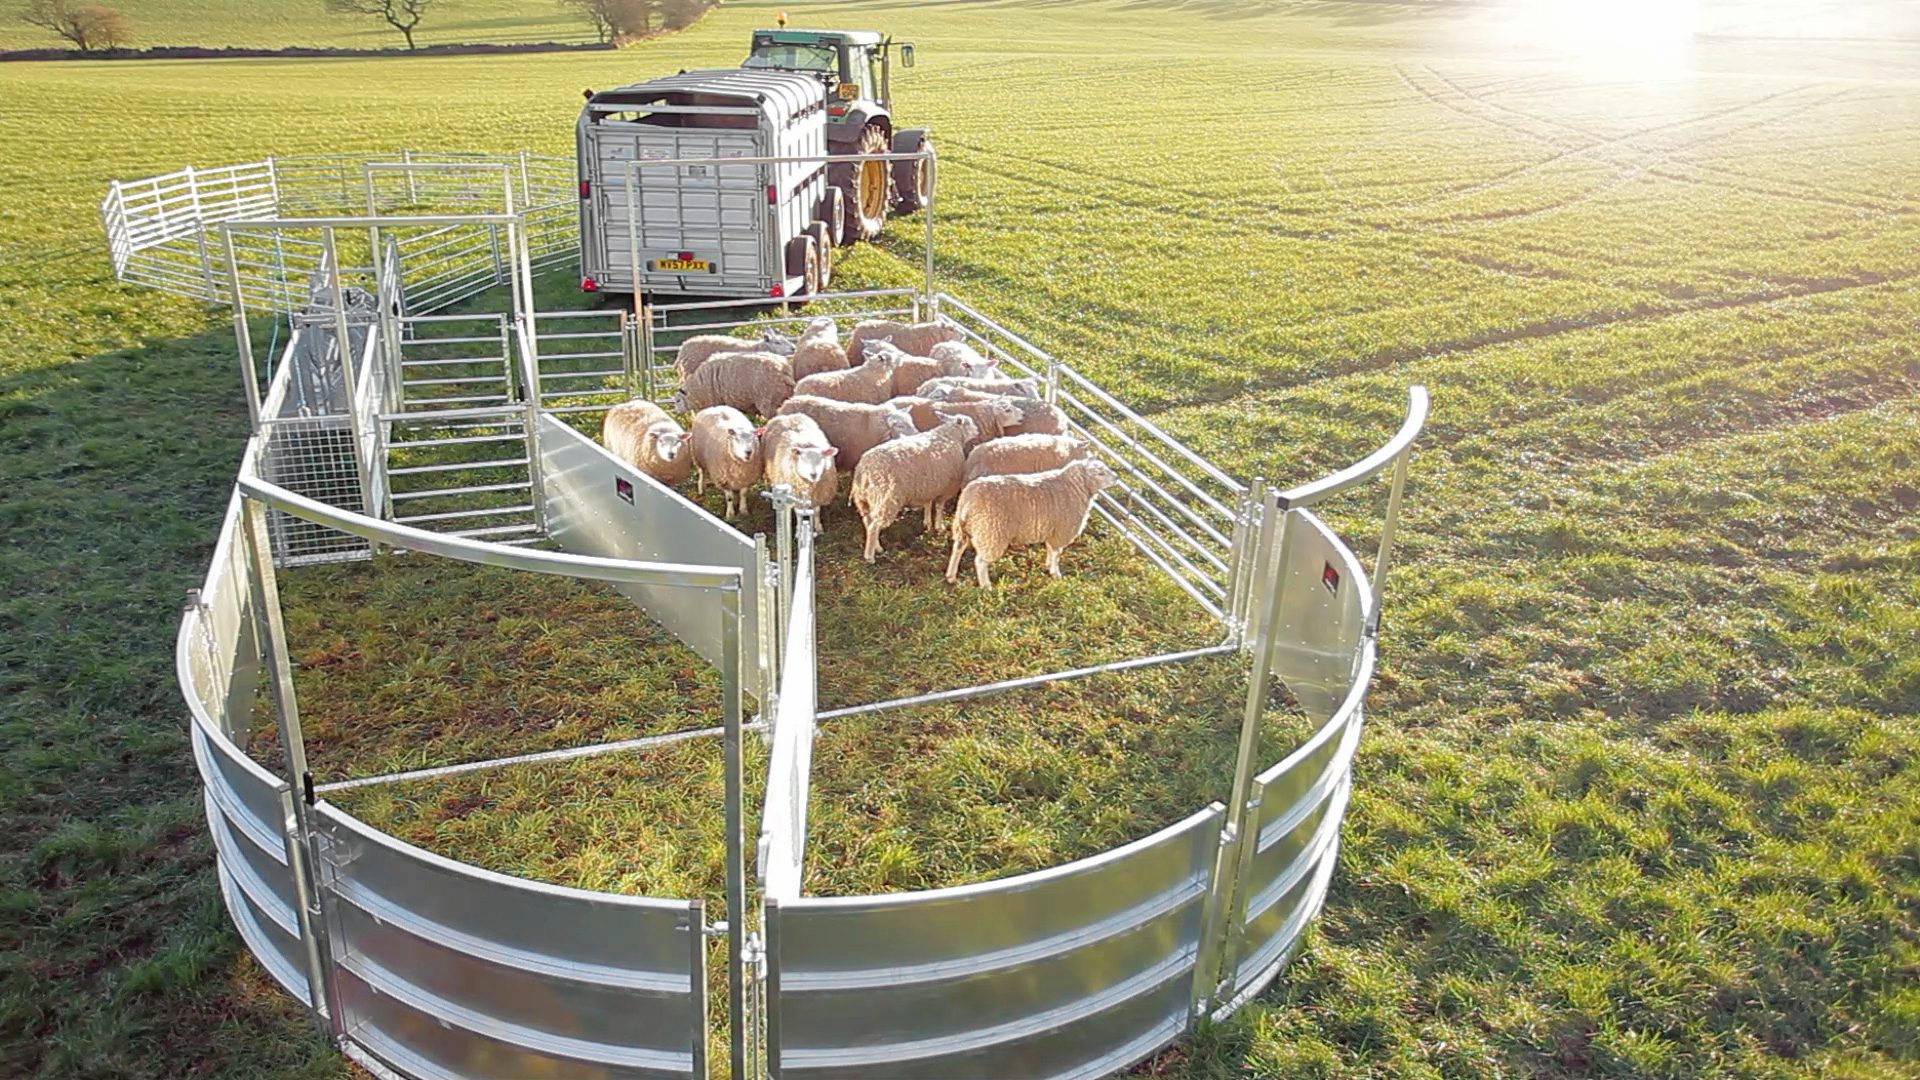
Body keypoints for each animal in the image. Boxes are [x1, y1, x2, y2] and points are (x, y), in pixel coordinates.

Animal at [852, 415, 980, 562]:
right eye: (969, 423)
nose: (978, 432)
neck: (950, 436)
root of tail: (865, 468)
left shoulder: (929, 485)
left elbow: (928, 504)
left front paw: (927, 524)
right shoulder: (947, 487)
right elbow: (939, 506)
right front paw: (940, 526)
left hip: (865, 500)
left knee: (868, 521)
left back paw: (877, 547)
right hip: (886, 498)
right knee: (874, 525)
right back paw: (870, 556)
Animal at [946, 459, 1119, 589]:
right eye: (1100, 473)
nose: (1117, 477)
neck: (1074, 487)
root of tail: (969, 500)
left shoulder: (1052, 529)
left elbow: (1050, 549)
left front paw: (1048, 565)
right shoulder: (1062, 529)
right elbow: (1057, 552)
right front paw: (1056, 573)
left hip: (963, 527)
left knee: (958, 549)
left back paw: (951, 576)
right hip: (991, 532)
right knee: (980, 561)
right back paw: (986, 586)